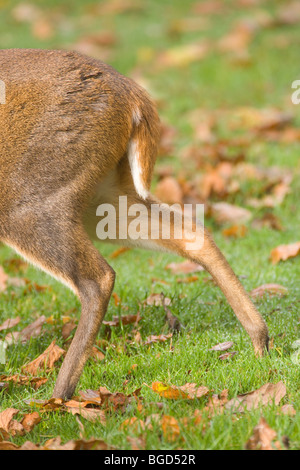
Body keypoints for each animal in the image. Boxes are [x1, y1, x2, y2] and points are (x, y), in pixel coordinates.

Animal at [0, 49, 268, 398]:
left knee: (98, 277)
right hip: (102, 193)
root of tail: (134, 98)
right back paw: (260, 340)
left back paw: (59, 395)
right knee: (191, 231)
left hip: (30, 196)